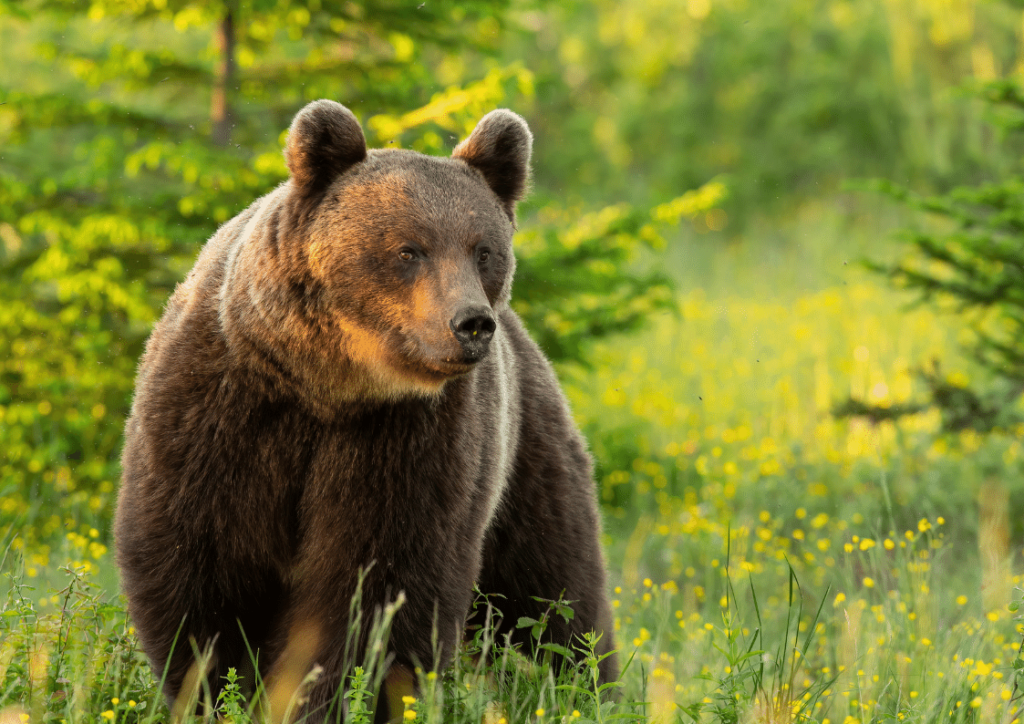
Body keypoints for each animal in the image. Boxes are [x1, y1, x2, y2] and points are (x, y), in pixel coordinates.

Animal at [117, 99, 618, 720]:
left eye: (483, 250)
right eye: (409, 249)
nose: (472, 323)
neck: (326, 385)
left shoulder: (410, 442)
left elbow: (376, 587)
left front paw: (322, 695)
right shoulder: (221, 410)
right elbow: (198, 565)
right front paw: (218, 688)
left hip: (527, 460)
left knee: (555, 596)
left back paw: (592, 690)